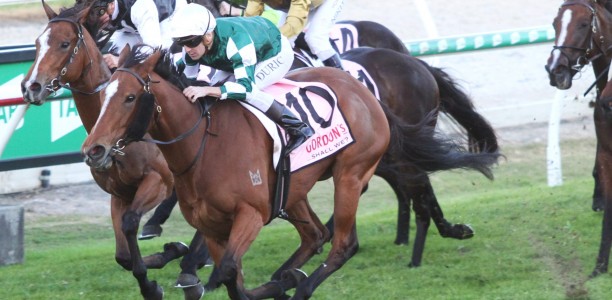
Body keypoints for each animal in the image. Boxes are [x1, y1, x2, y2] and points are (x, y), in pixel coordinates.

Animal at [20, 1, 195, 298]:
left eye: (65, 44)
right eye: (37, 42)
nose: (31, 86)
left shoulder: (157, 180)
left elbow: (131, 223)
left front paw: (158, 274)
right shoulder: (119, 193)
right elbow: (123, 256)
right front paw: (161, 265)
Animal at [81, 45, 392, 300]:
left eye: (130, 97)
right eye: (104, 94)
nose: (93, 150)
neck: (205, 146)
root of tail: (360, 87)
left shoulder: (250, 214)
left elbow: (230, 272)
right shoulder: (211, 226)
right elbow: (232, 277)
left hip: (350, 175)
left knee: (343, 245)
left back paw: (299, 286)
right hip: (294, 190)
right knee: (315, 235)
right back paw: (286, 276)